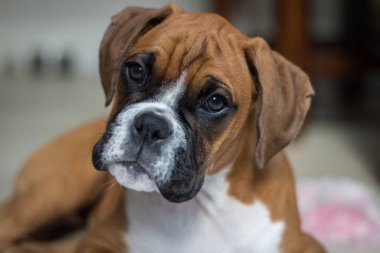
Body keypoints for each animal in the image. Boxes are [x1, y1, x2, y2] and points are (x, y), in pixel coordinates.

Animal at [0, 2, 326, 253]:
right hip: (59, 189)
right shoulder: (96, 242)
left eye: (216, 102)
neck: (198, 207)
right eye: (135, 70)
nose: (150, 125)